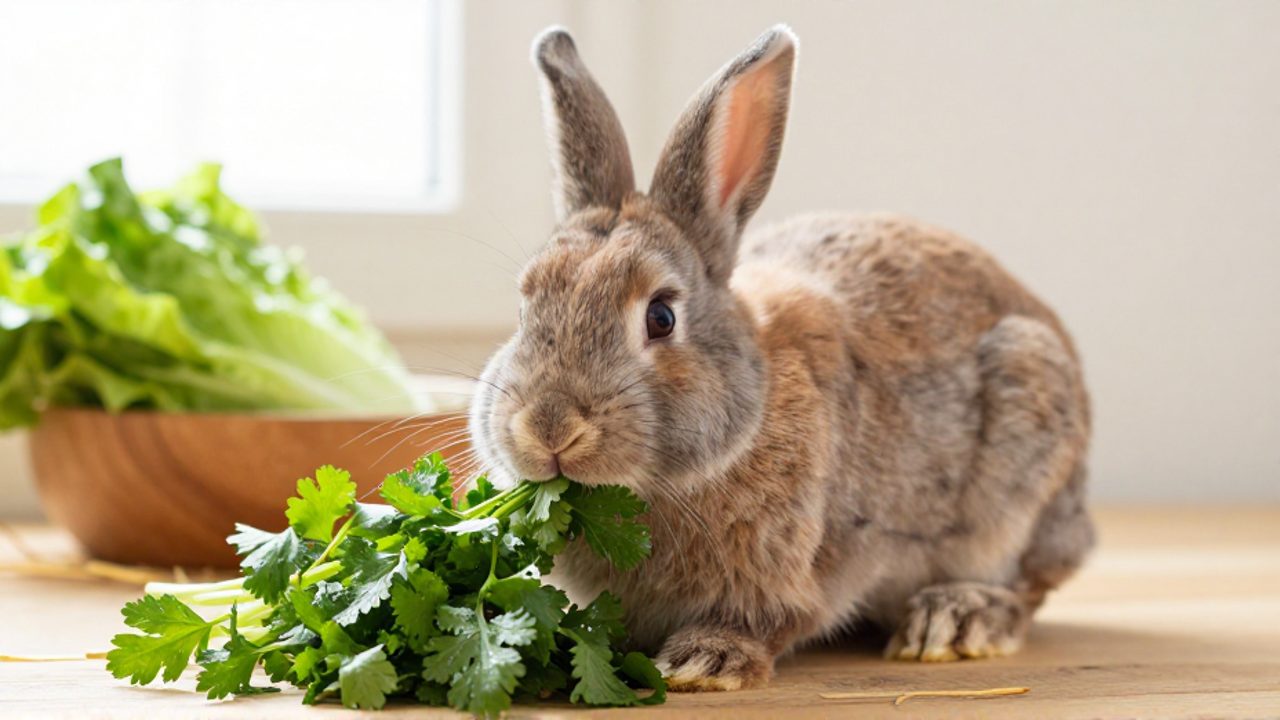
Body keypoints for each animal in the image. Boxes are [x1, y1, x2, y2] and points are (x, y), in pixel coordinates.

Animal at [467, 24, 1094, 691]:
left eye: (661, 317)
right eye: (524, 308)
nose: (548, 428)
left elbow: (775, 618)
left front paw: (703, 662)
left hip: (1023, 455)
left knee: (1027, 584)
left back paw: (955, 620)